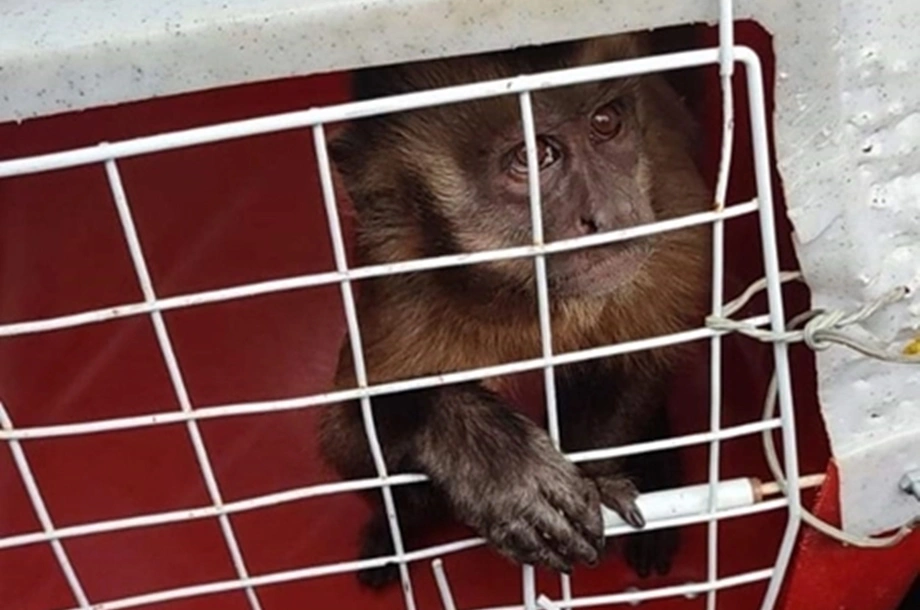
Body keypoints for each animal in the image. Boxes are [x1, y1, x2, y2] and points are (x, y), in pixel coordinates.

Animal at [318, 33, 711, 588]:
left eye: (606, 122)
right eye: (532, 156)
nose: (611, 213)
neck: (527, 297)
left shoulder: (671, 228)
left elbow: (637, 366)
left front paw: (597, 475)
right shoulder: (401, 277)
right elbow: (351, 437)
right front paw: (501, 470)